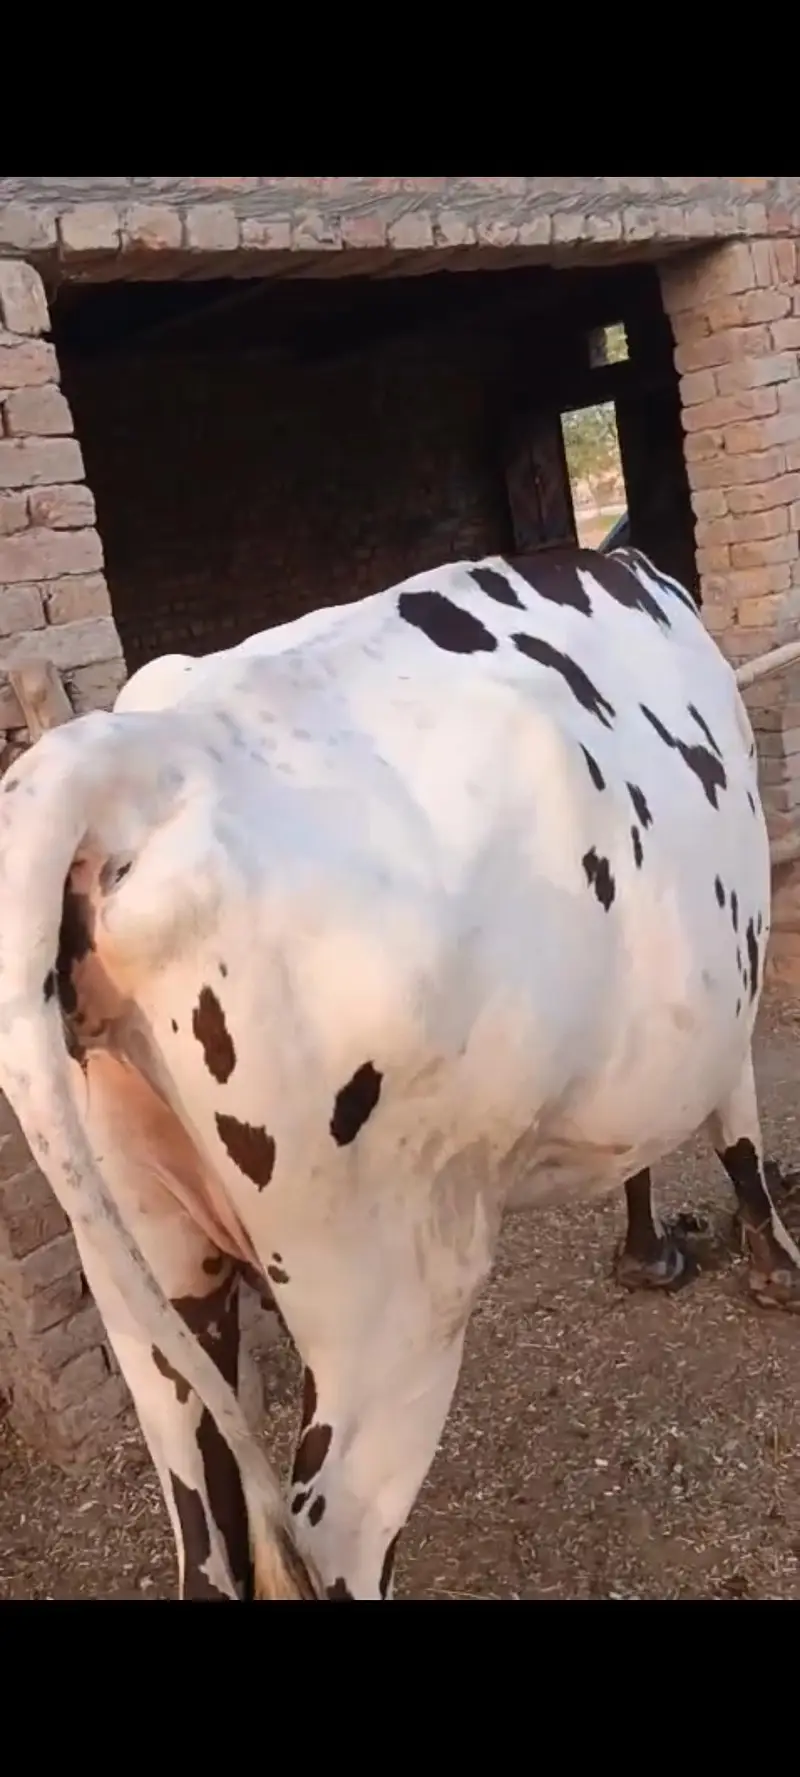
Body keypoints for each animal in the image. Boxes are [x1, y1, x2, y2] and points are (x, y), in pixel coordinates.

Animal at [0, 543, 798, 1603]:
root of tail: (136, 756)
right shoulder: (723, 987)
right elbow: (736, 1122)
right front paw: (770, 1262)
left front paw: (648, 1248)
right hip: (393, 1295)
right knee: (339, 1531)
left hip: (147, 1272)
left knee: (204, 1522)